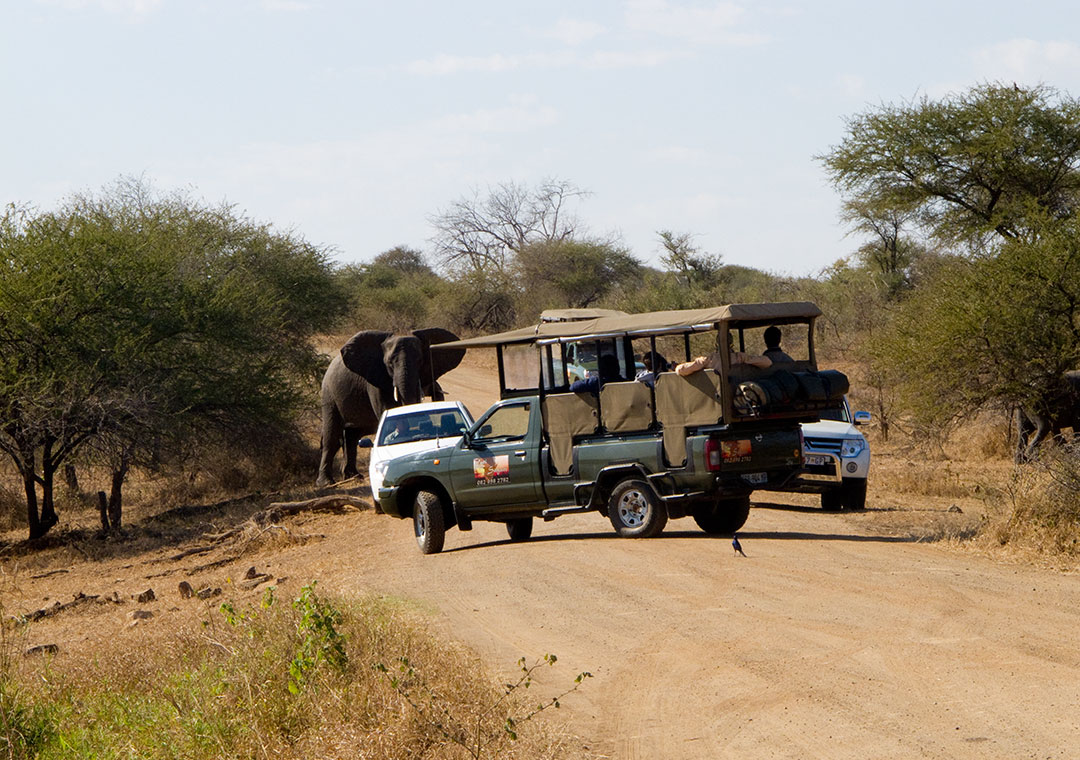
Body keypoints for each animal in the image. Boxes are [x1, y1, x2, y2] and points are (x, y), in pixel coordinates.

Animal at [317, 328, 465, 486]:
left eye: (420, 360)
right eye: (389, 363)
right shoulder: (375, 378)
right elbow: (385, 410)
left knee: (352, 436)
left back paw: (354, 476)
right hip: (329, 393)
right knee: (332, 436)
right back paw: (326, 483)